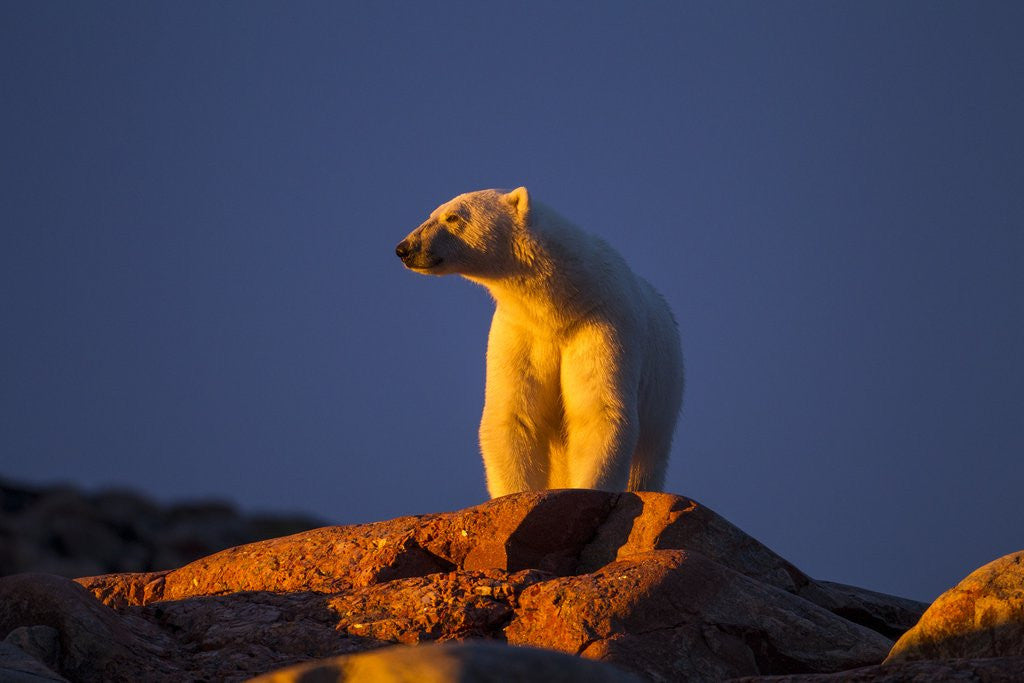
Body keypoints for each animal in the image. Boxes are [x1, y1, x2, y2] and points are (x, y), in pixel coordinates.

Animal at [396, 187, 684, 497]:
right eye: (431, 213)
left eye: (453, 217)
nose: (404, 248)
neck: (561, 304)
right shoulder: (522, 333)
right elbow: (514, 416)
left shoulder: (601, 324)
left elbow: (596, 410)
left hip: (663, 406)